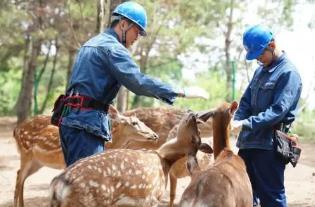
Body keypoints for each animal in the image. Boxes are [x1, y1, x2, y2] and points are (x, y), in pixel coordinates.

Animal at [12, 106, 158, 207]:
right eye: (134, 123)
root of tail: (16, 131)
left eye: (141, 121)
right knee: (19, 176)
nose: (155, 135)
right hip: (26, 153)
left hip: (37, 162)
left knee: (21, 176)